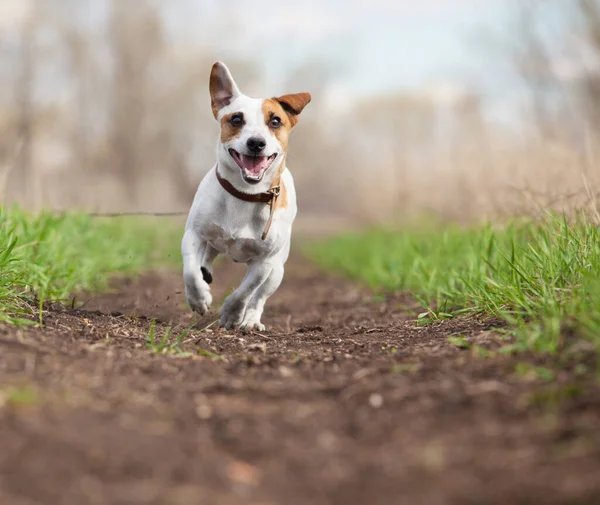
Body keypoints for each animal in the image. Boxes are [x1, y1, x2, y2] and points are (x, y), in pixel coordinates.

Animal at [180, 62, 312, 330]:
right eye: (236, 119)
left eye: (275, 121)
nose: (256, 143)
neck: (245, 194)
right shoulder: (194, 234)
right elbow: (190, 270)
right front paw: (199, 297)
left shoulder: (265, 262)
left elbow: (247, 290)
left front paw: (232, 314)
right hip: (213, 241)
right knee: (206, 258)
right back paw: (205, 272)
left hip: (277, 271)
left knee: (259, 297)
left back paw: (251, 320)